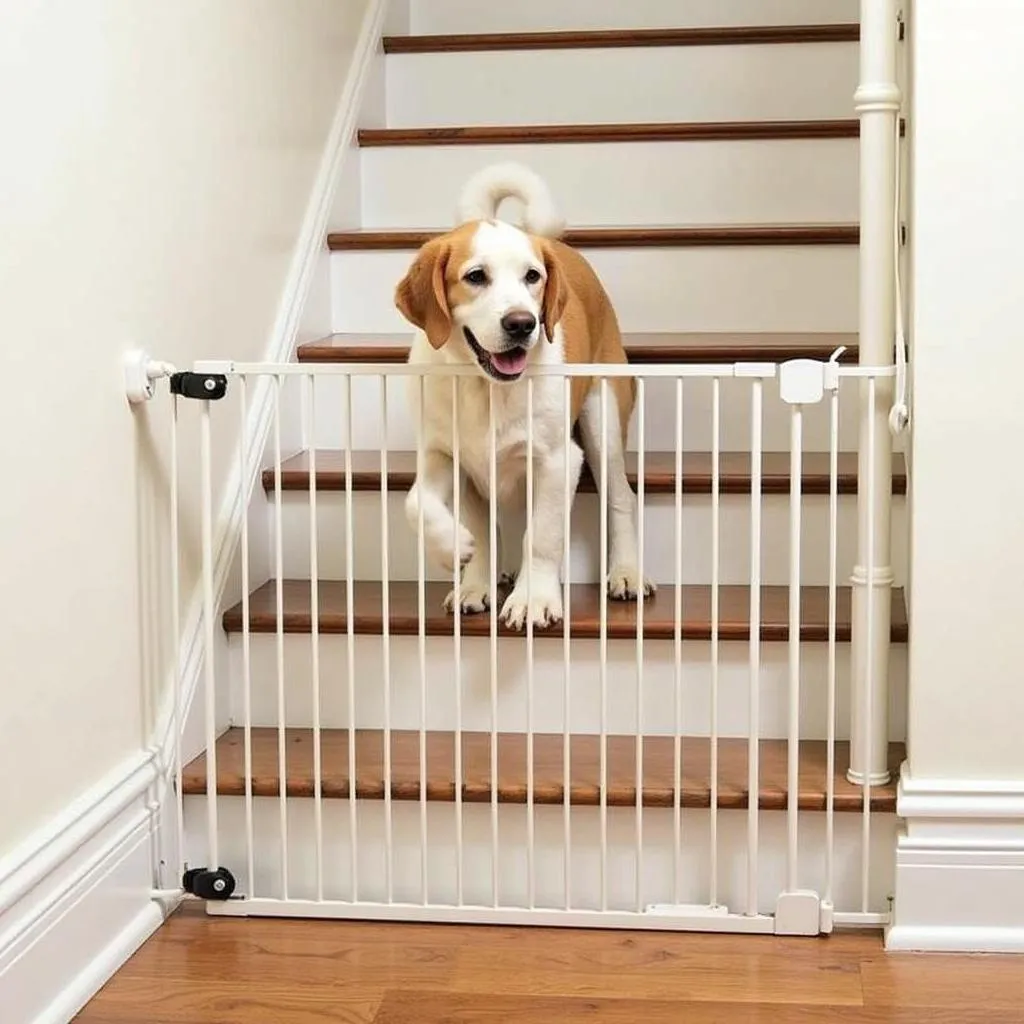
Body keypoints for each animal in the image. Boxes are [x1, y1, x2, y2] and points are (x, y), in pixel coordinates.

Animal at [395, 162, 651, 626]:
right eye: (476, 276)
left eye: (532, 277)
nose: (522, 324)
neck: (486, 389)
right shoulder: (442, 455)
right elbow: (420, 504)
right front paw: (460, 561)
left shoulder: (558, 461)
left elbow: (542, 536)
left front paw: (533, 598)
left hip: (603, 422)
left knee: (621, 498)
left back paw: (626, 572)